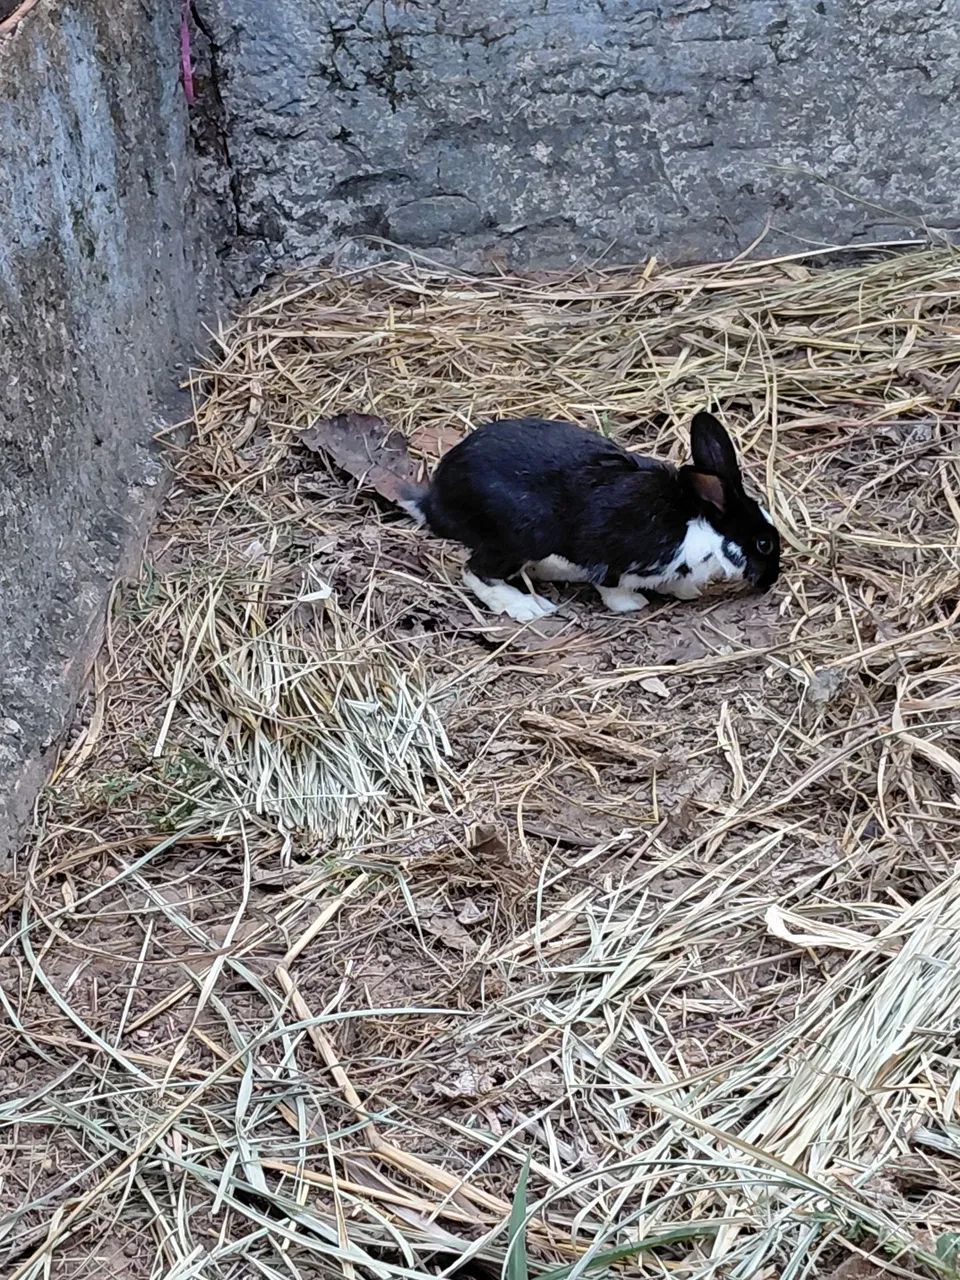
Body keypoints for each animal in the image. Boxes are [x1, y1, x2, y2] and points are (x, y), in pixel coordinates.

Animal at [399, 409, 780, 623]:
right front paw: (632, 604)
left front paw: (685, 591)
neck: (702, 524)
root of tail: (437, 502)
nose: (772, 580)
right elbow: (611, 585)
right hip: (525, 535)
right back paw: (528, 607)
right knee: (475, 571)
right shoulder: (615, 553)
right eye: (763, 544)